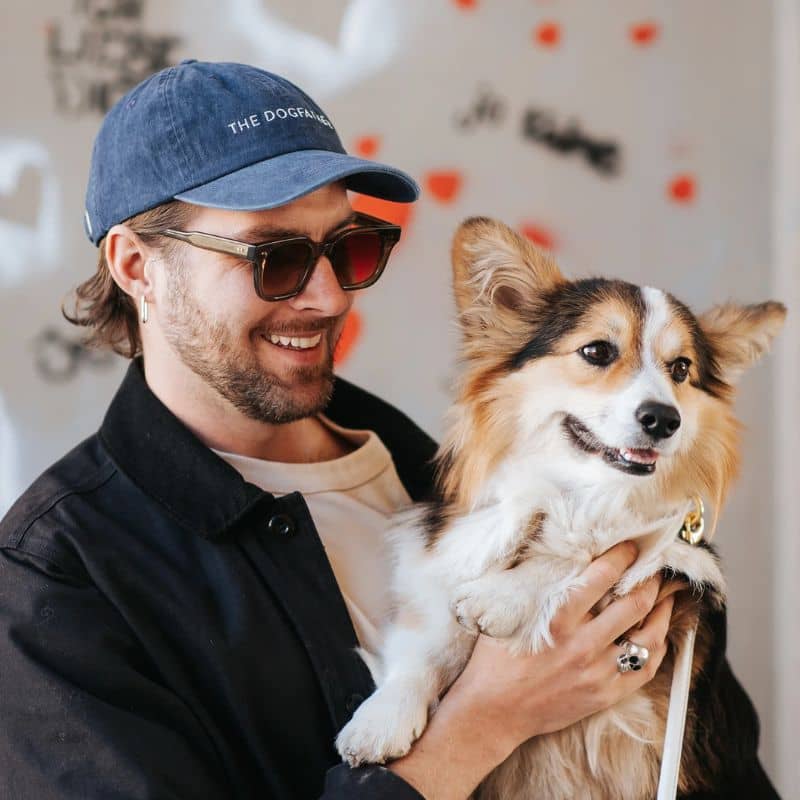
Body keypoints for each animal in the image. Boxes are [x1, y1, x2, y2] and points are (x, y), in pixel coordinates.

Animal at [334, 216, 784, 796]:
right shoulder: (439, 567)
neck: (581, 493)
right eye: (597, 352)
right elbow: (424, 646)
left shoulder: (682, 557)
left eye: (681, 369)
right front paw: (379, 722)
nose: (665, 419)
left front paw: (501, 597)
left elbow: (597, 550)